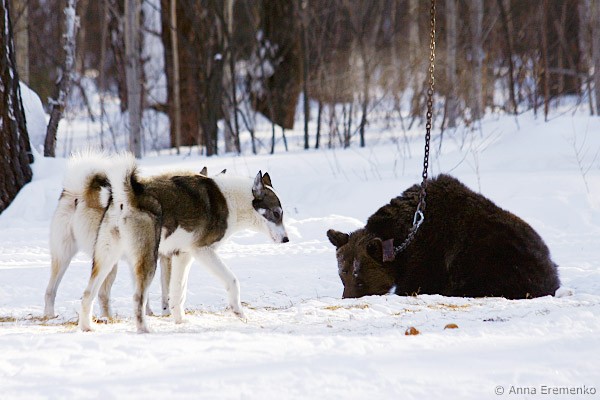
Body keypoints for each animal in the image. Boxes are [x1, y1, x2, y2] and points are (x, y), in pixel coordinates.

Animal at [43, 151, 217, 320]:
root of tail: (79, 194)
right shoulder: (166, 258)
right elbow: (166, 289)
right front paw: (166, 312)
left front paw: (149, 312)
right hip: (110, 263)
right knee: (102, 294)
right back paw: (108, 319)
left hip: (63, 258)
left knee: (50, 290)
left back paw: (50, 316)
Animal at [78, 156, 289, 332]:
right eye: (276, 213)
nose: (287, 239)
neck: (233, 201)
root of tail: (128, 195)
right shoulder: (203, 251)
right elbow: (232, 281)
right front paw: (239, 312)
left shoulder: (182, 255)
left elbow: (178, 292)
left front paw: (180, 320)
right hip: (148, 261)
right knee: (138, 298)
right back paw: (144, 330)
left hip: (106, 259)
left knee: (88, 293)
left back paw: (86, 327)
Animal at [327, 174, 560, 299]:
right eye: (342, 274)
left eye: (359, 278)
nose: (346, 298)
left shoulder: (430, 256)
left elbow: (416, 284)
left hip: (496, 258)